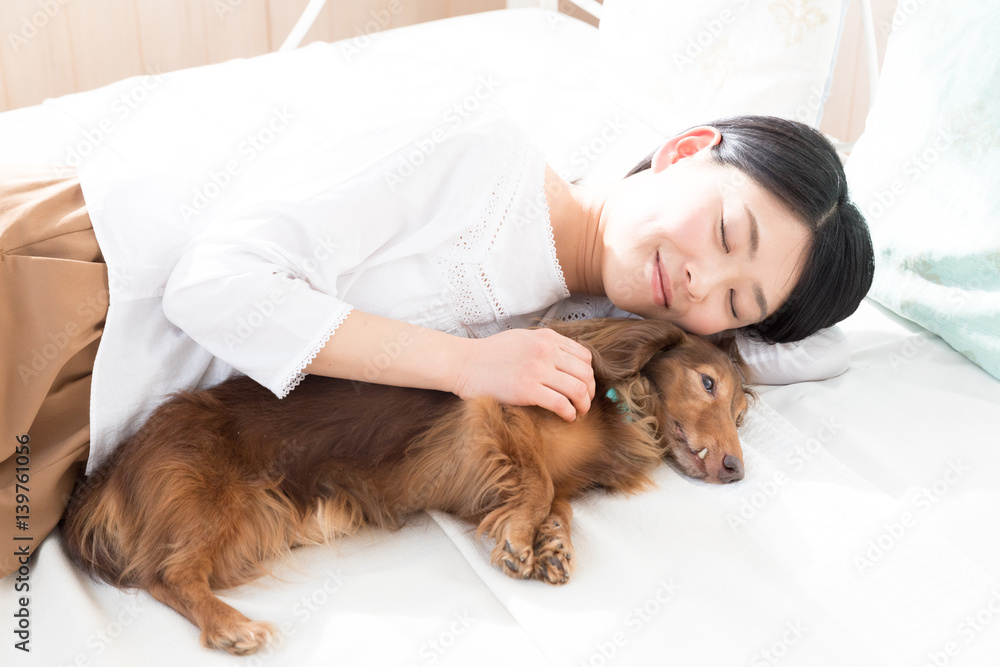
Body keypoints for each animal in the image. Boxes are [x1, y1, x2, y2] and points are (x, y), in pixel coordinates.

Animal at [62, 318, 752, 652]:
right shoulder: (492, 417)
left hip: (258, 517)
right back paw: (231, 626)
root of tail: (110, 470)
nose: (737, 470)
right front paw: (519, 540)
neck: (621, 408)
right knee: (166, 575)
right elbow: (532, 485)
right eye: (707, 385)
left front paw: (554, 544)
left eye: (742, 414)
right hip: (221, 502)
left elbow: (557, 503)